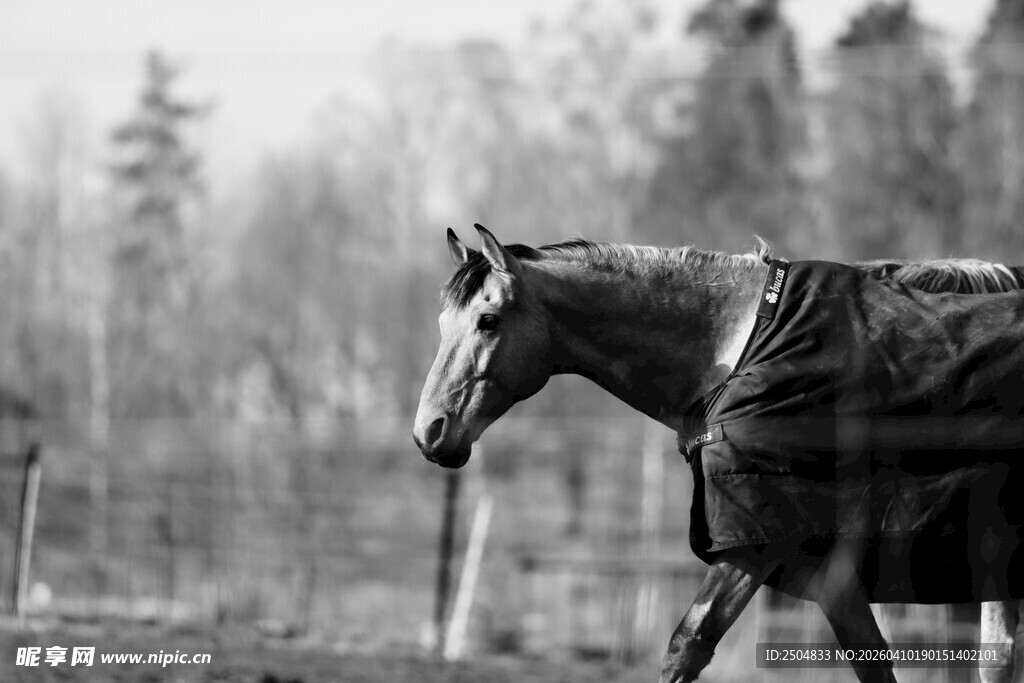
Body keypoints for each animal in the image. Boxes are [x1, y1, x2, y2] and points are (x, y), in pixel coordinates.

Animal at [413, 225, 1024, 683]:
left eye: (487, 320)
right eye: (442, 322)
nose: (429, 432)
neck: (743, 348)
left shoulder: (753, 545)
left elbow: (688, 643)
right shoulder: (823, 560)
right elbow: (870, 660)